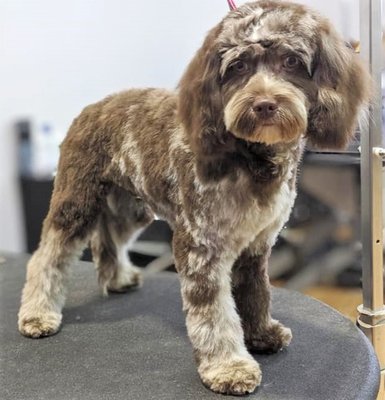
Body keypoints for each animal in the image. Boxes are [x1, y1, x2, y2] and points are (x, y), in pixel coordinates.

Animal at [18, 0, 368, 394]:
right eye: (238, 66)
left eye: (291, 61)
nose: (264, 104)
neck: (251, 156)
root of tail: (94, 107)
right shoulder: (201, 247)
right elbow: (214, 314)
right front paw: (228, 367)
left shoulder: (256, 245)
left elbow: (256, 294)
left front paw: (262, 334)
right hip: (76, 201)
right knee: (48, 255)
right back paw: (37, 313)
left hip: (130, 208)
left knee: (109, 240)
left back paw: (118, 278)